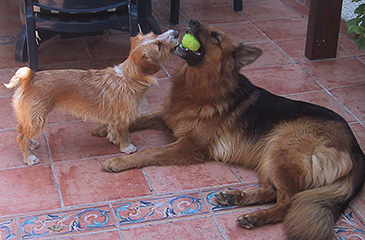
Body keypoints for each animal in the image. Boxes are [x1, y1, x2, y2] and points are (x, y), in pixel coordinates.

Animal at [4, 29, 178, 166]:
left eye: (155, 34)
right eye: (159, 46)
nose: (176, 33)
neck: (129, 77)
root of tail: (30, 77)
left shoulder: (114, 117)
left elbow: (112, 128)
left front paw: (113, 138)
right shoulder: (123, 119)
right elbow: (124, 134)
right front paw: (126, 147)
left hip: (29, 116)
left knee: (20, 129)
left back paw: (31, 144)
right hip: (37, 118)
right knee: (20, 137)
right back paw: (29, 158)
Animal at [94, 19, 364, 239]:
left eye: (215, 36)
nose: (192, 22)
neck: (199, 87)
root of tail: (356, 149)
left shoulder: (189, 146)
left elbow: (149, 152)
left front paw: (119, 161)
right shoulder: (167, 116)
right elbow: (138, 118)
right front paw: (106, 128)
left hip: (281, 147)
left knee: (288, 200)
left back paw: (257, 217)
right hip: (269, 155)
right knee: (271, 191)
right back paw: (236, 197)